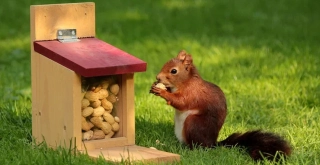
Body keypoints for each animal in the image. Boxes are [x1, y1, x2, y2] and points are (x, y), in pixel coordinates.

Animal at [149, 50, 292, 161]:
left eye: (174, 71)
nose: (157, 77)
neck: (186, 82)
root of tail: (213, 143)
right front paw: (156, 87)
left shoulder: (192, 93)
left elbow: (180, 102)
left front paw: (162, 92)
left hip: (194, 123)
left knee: (200, 147)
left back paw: (191, 150)